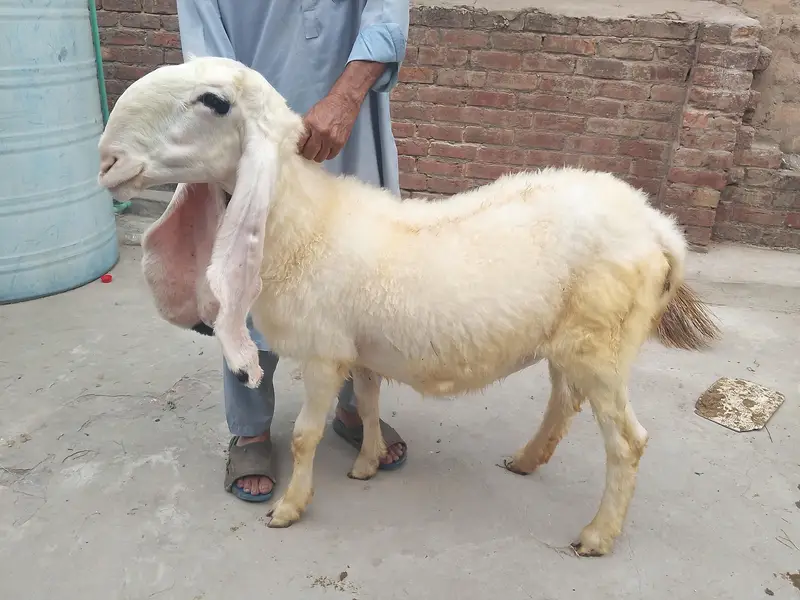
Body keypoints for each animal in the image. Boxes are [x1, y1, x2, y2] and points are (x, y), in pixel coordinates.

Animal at [96, 55, 720, 557]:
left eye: (214, 101)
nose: (106, 160)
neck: (304, 223)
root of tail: (660, 229)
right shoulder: (359, 349)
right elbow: (370, 403)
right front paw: (368, 463)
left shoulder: (323, 353)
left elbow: (304, 436)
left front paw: (290, 507)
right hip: (576, 339)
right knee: (564, 401)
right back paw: (527, 459)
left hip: (602, 342)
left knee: (627, 442)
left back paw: (597, 535)